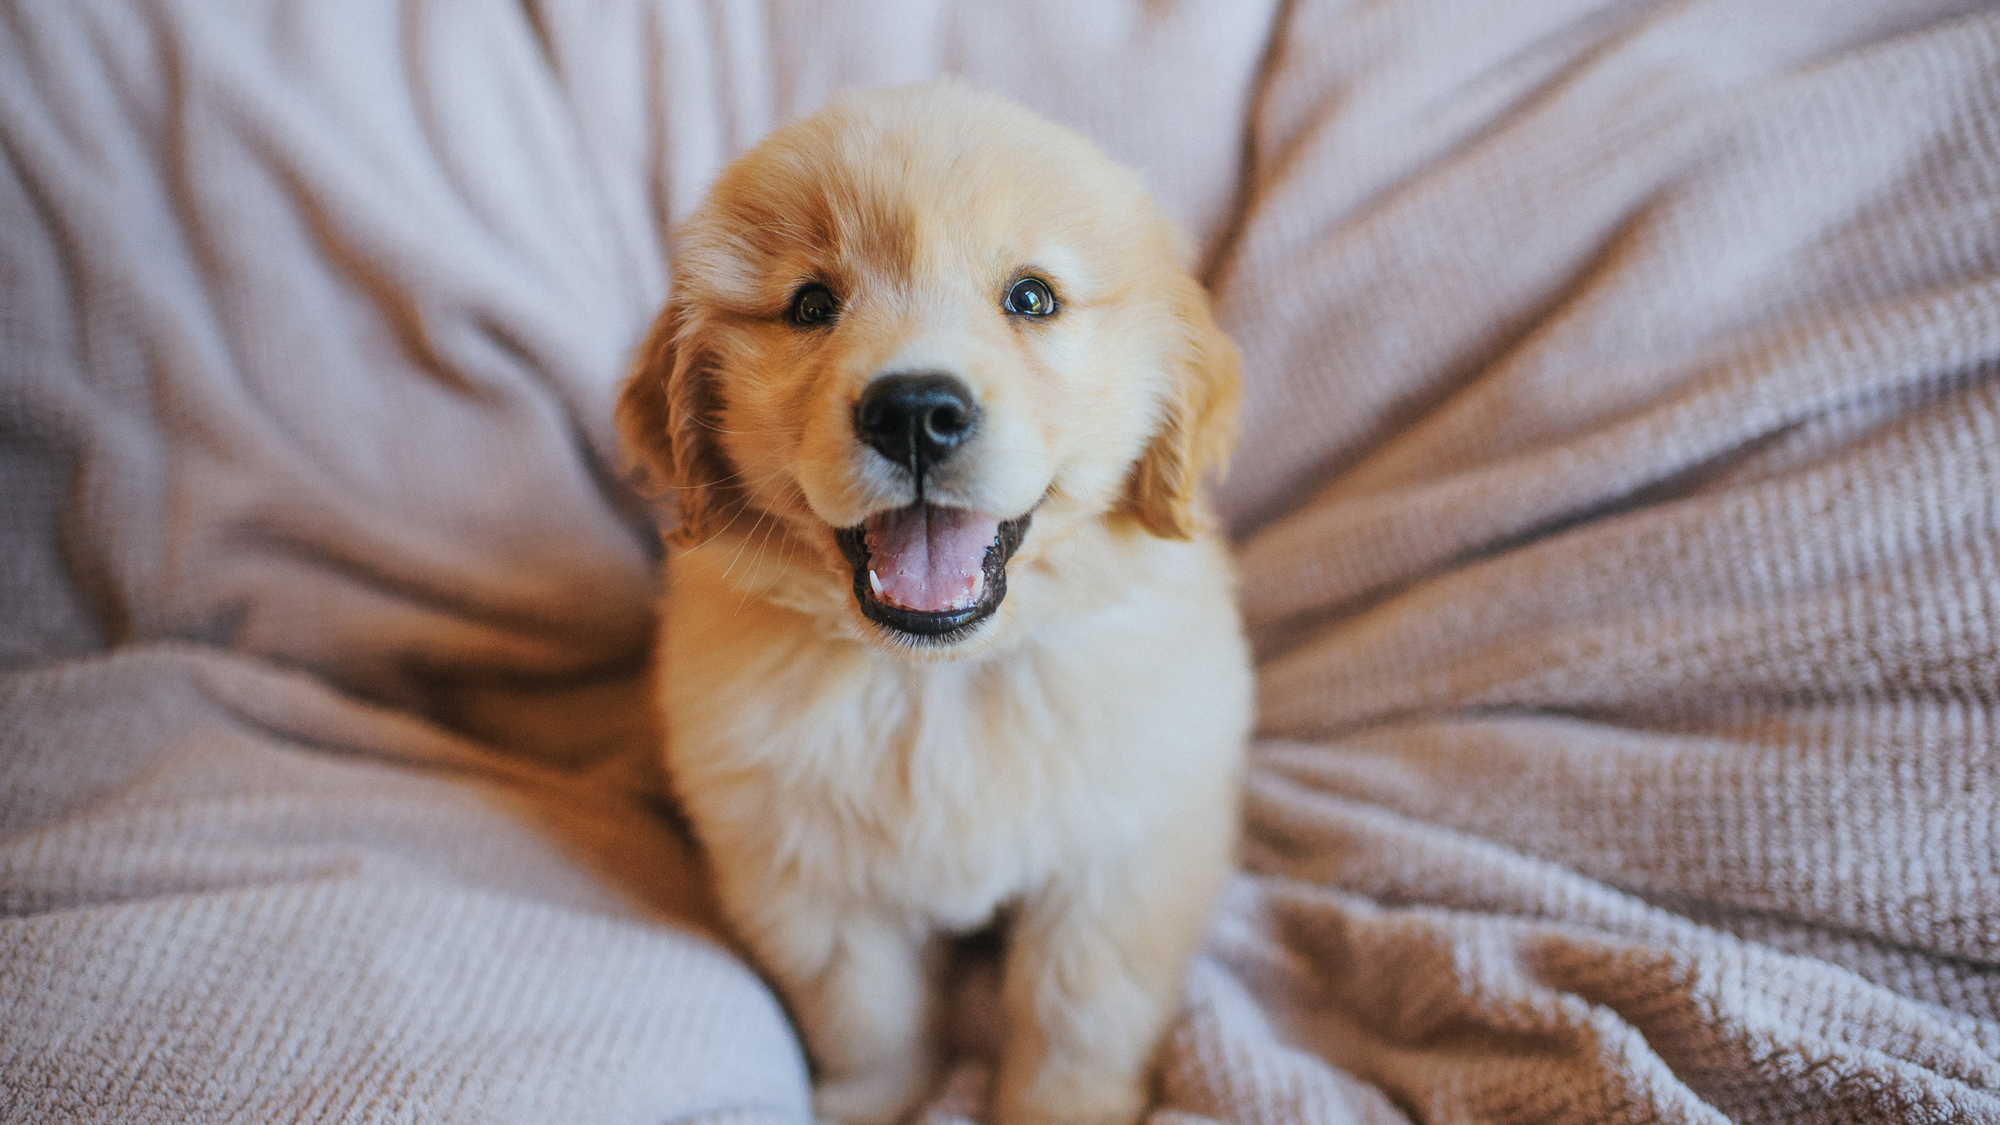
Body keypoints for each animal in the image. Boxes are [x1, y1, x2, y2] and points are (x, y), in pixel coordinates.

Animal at [616, 81, 1256, 1120]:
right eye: (811, 304)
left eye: (1031, 297)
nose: (916, 410)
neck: (938, 680)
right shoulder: (810, 879)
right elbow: (869, 1018)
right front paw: (873, 1104)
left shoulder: (1122, 864)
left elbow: (1078, 1018)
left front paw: (1065, 1109)